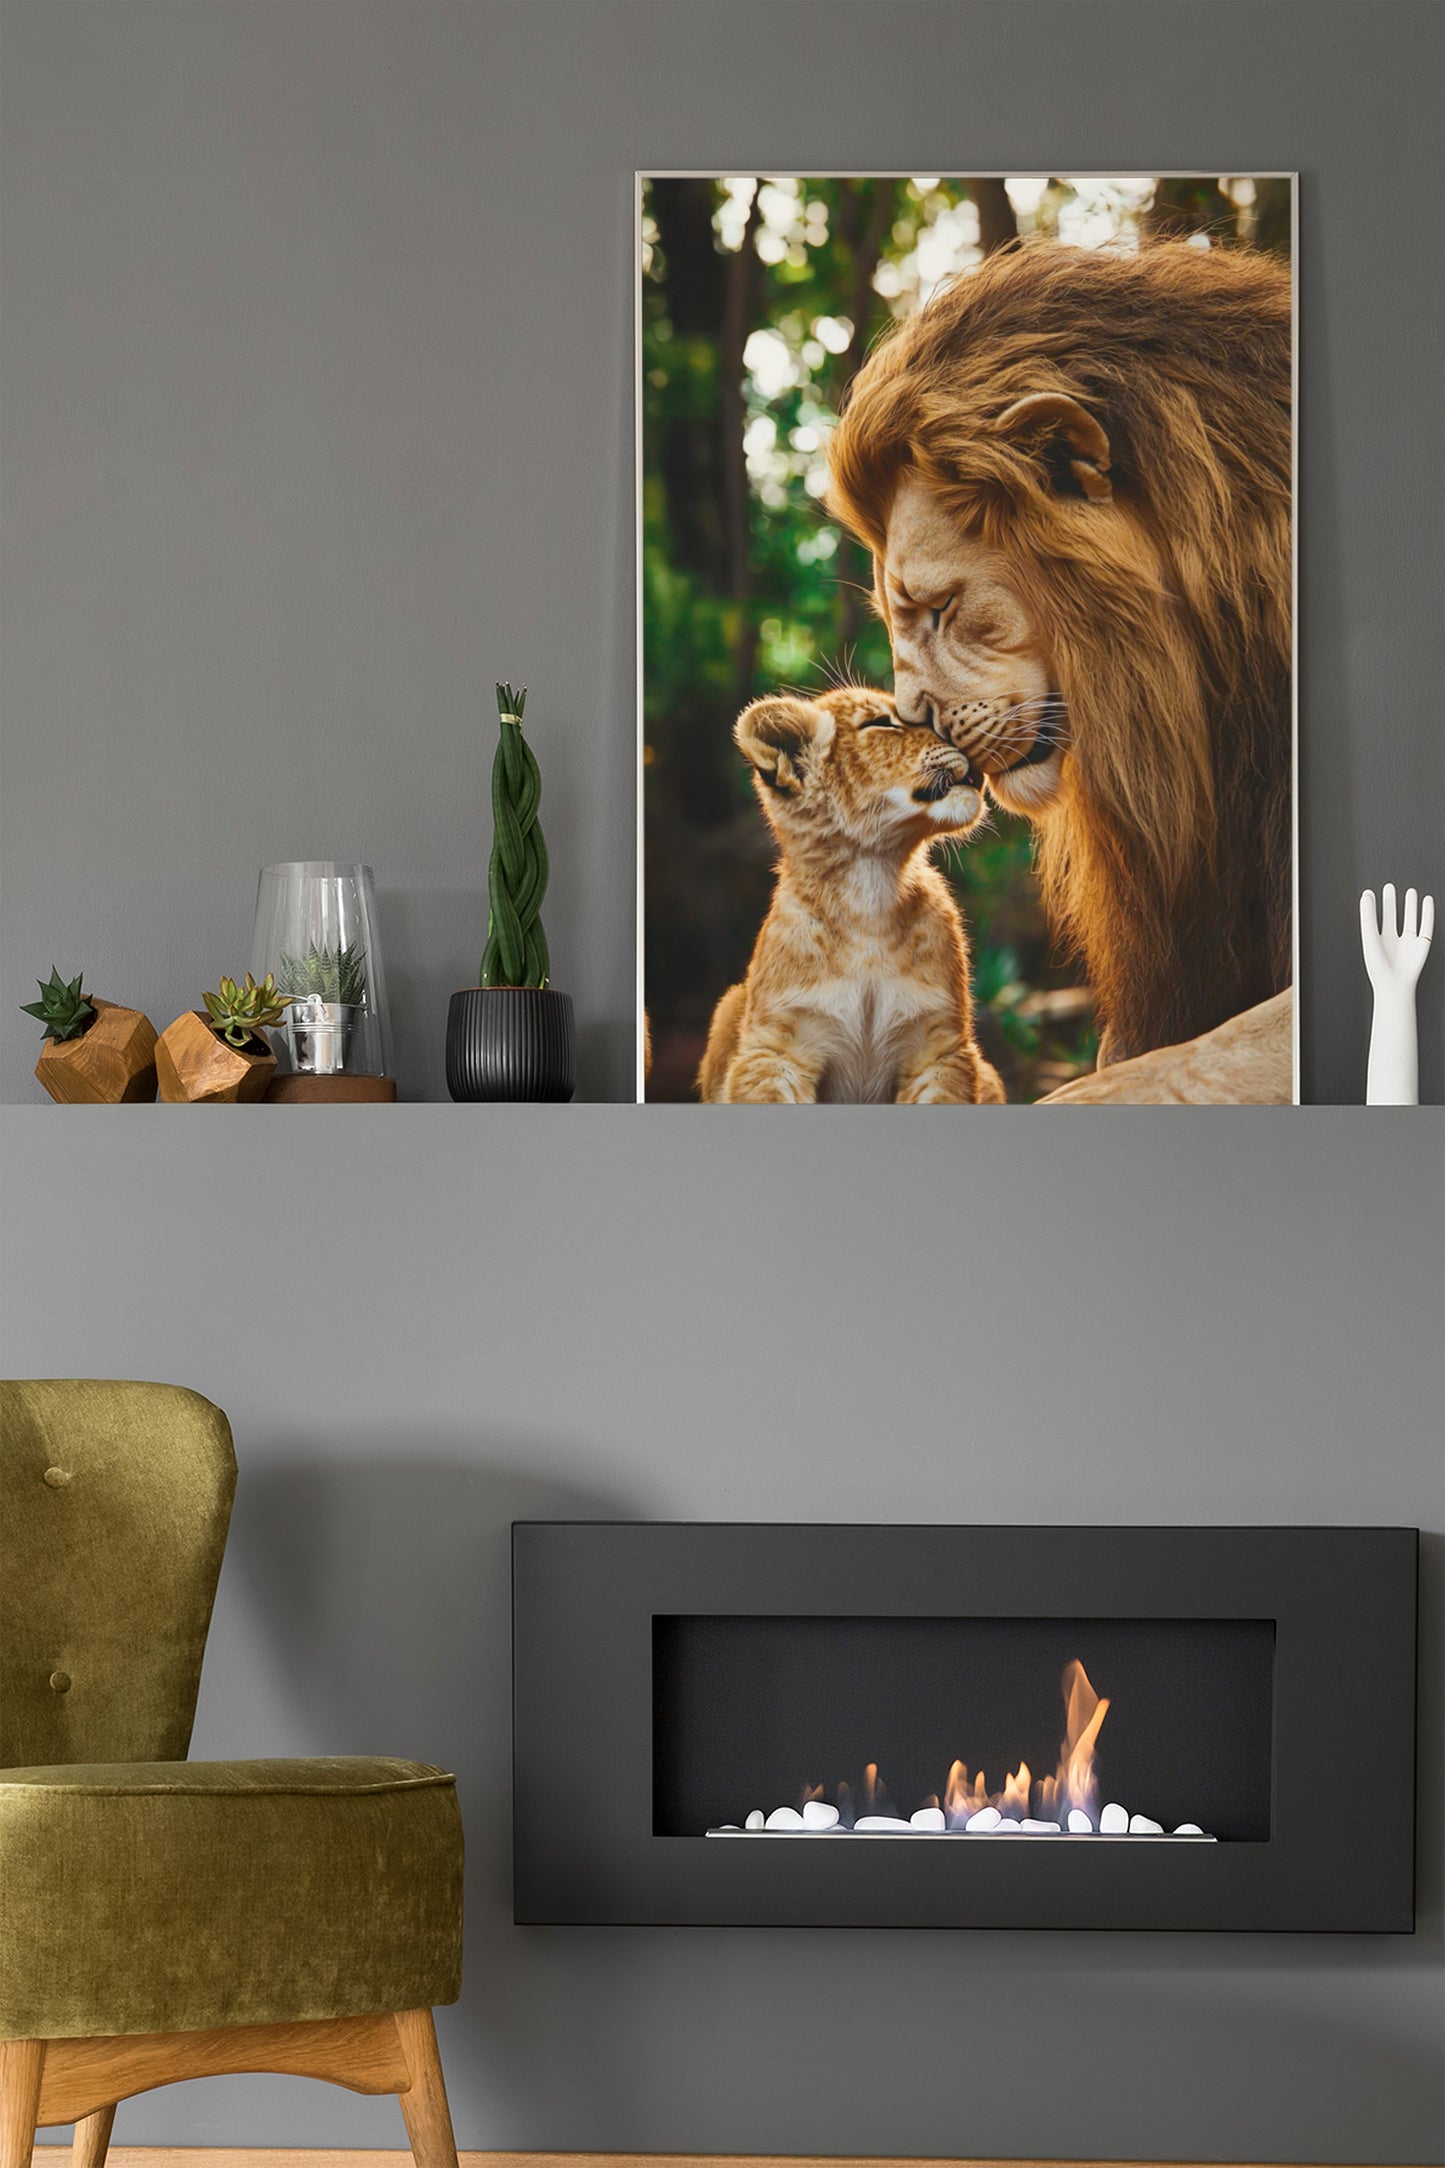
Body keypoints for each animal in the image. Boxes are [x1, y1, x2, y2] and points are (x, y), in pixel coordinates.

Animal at [698, 685, 1006, 1105]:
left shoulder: (940, 1047)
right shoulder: (775, 1049)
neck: (870, 889)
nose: (964, 739)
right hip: (730, 1005)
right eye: (881, 723)